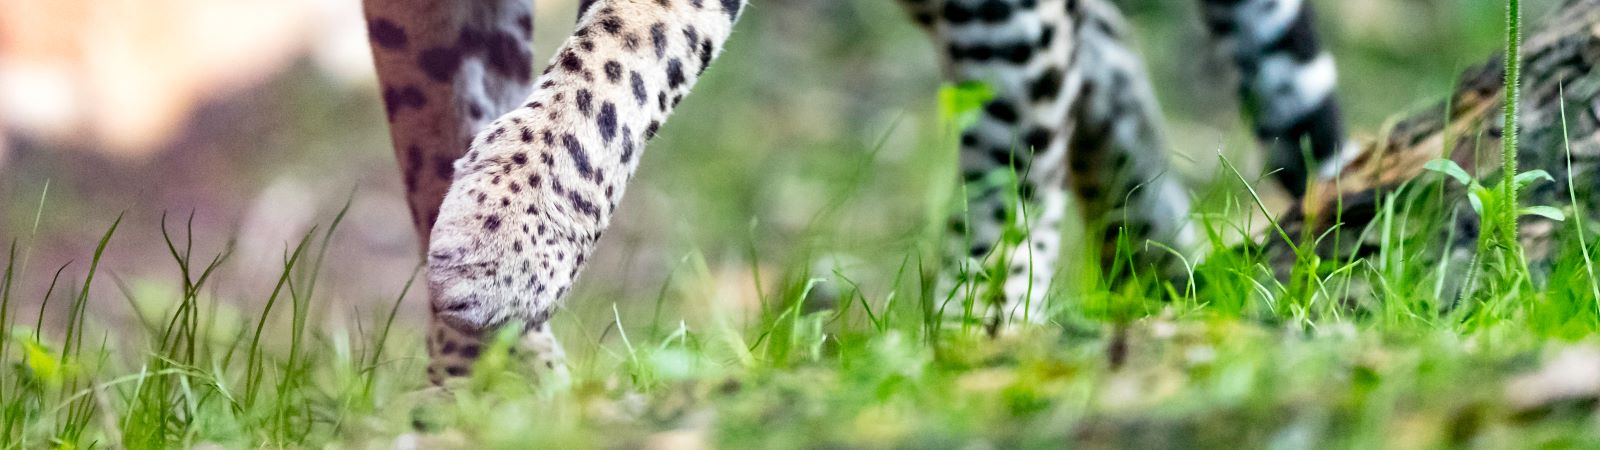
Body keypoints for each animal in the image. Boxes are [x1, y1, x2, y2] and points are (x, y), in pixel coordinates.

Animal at [356, 0, 1344, 381]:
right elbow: (437, 118)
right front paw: (491, 387)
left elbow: (617, 58)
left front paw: (505, 235)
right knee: (1096, 37)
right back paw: (1161, 265)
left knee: (1032, 93)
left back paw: (977, 334)